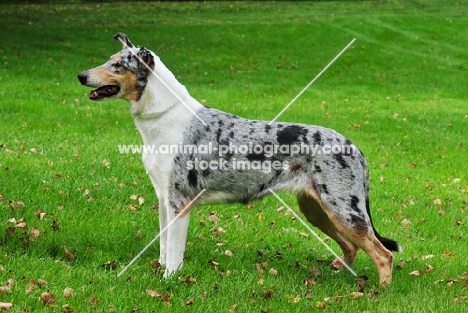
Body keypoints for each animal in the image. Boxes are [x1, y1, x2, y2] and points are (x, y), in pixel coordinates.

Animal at [78, 33, 400, 284]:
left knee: (382, 254)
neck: (163, 116)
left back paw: (378, 294)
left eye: (117, 65)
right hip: (318, 209)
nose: (81, 76)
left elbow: (174, 251)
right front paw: (158, 272)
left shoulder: (180, 201)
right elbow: (163, 246)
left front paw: (169, 281)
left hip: (343, 208)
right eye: (109, 59)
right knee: (352, 247)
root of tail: (355, 147)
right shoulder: (163, 197)